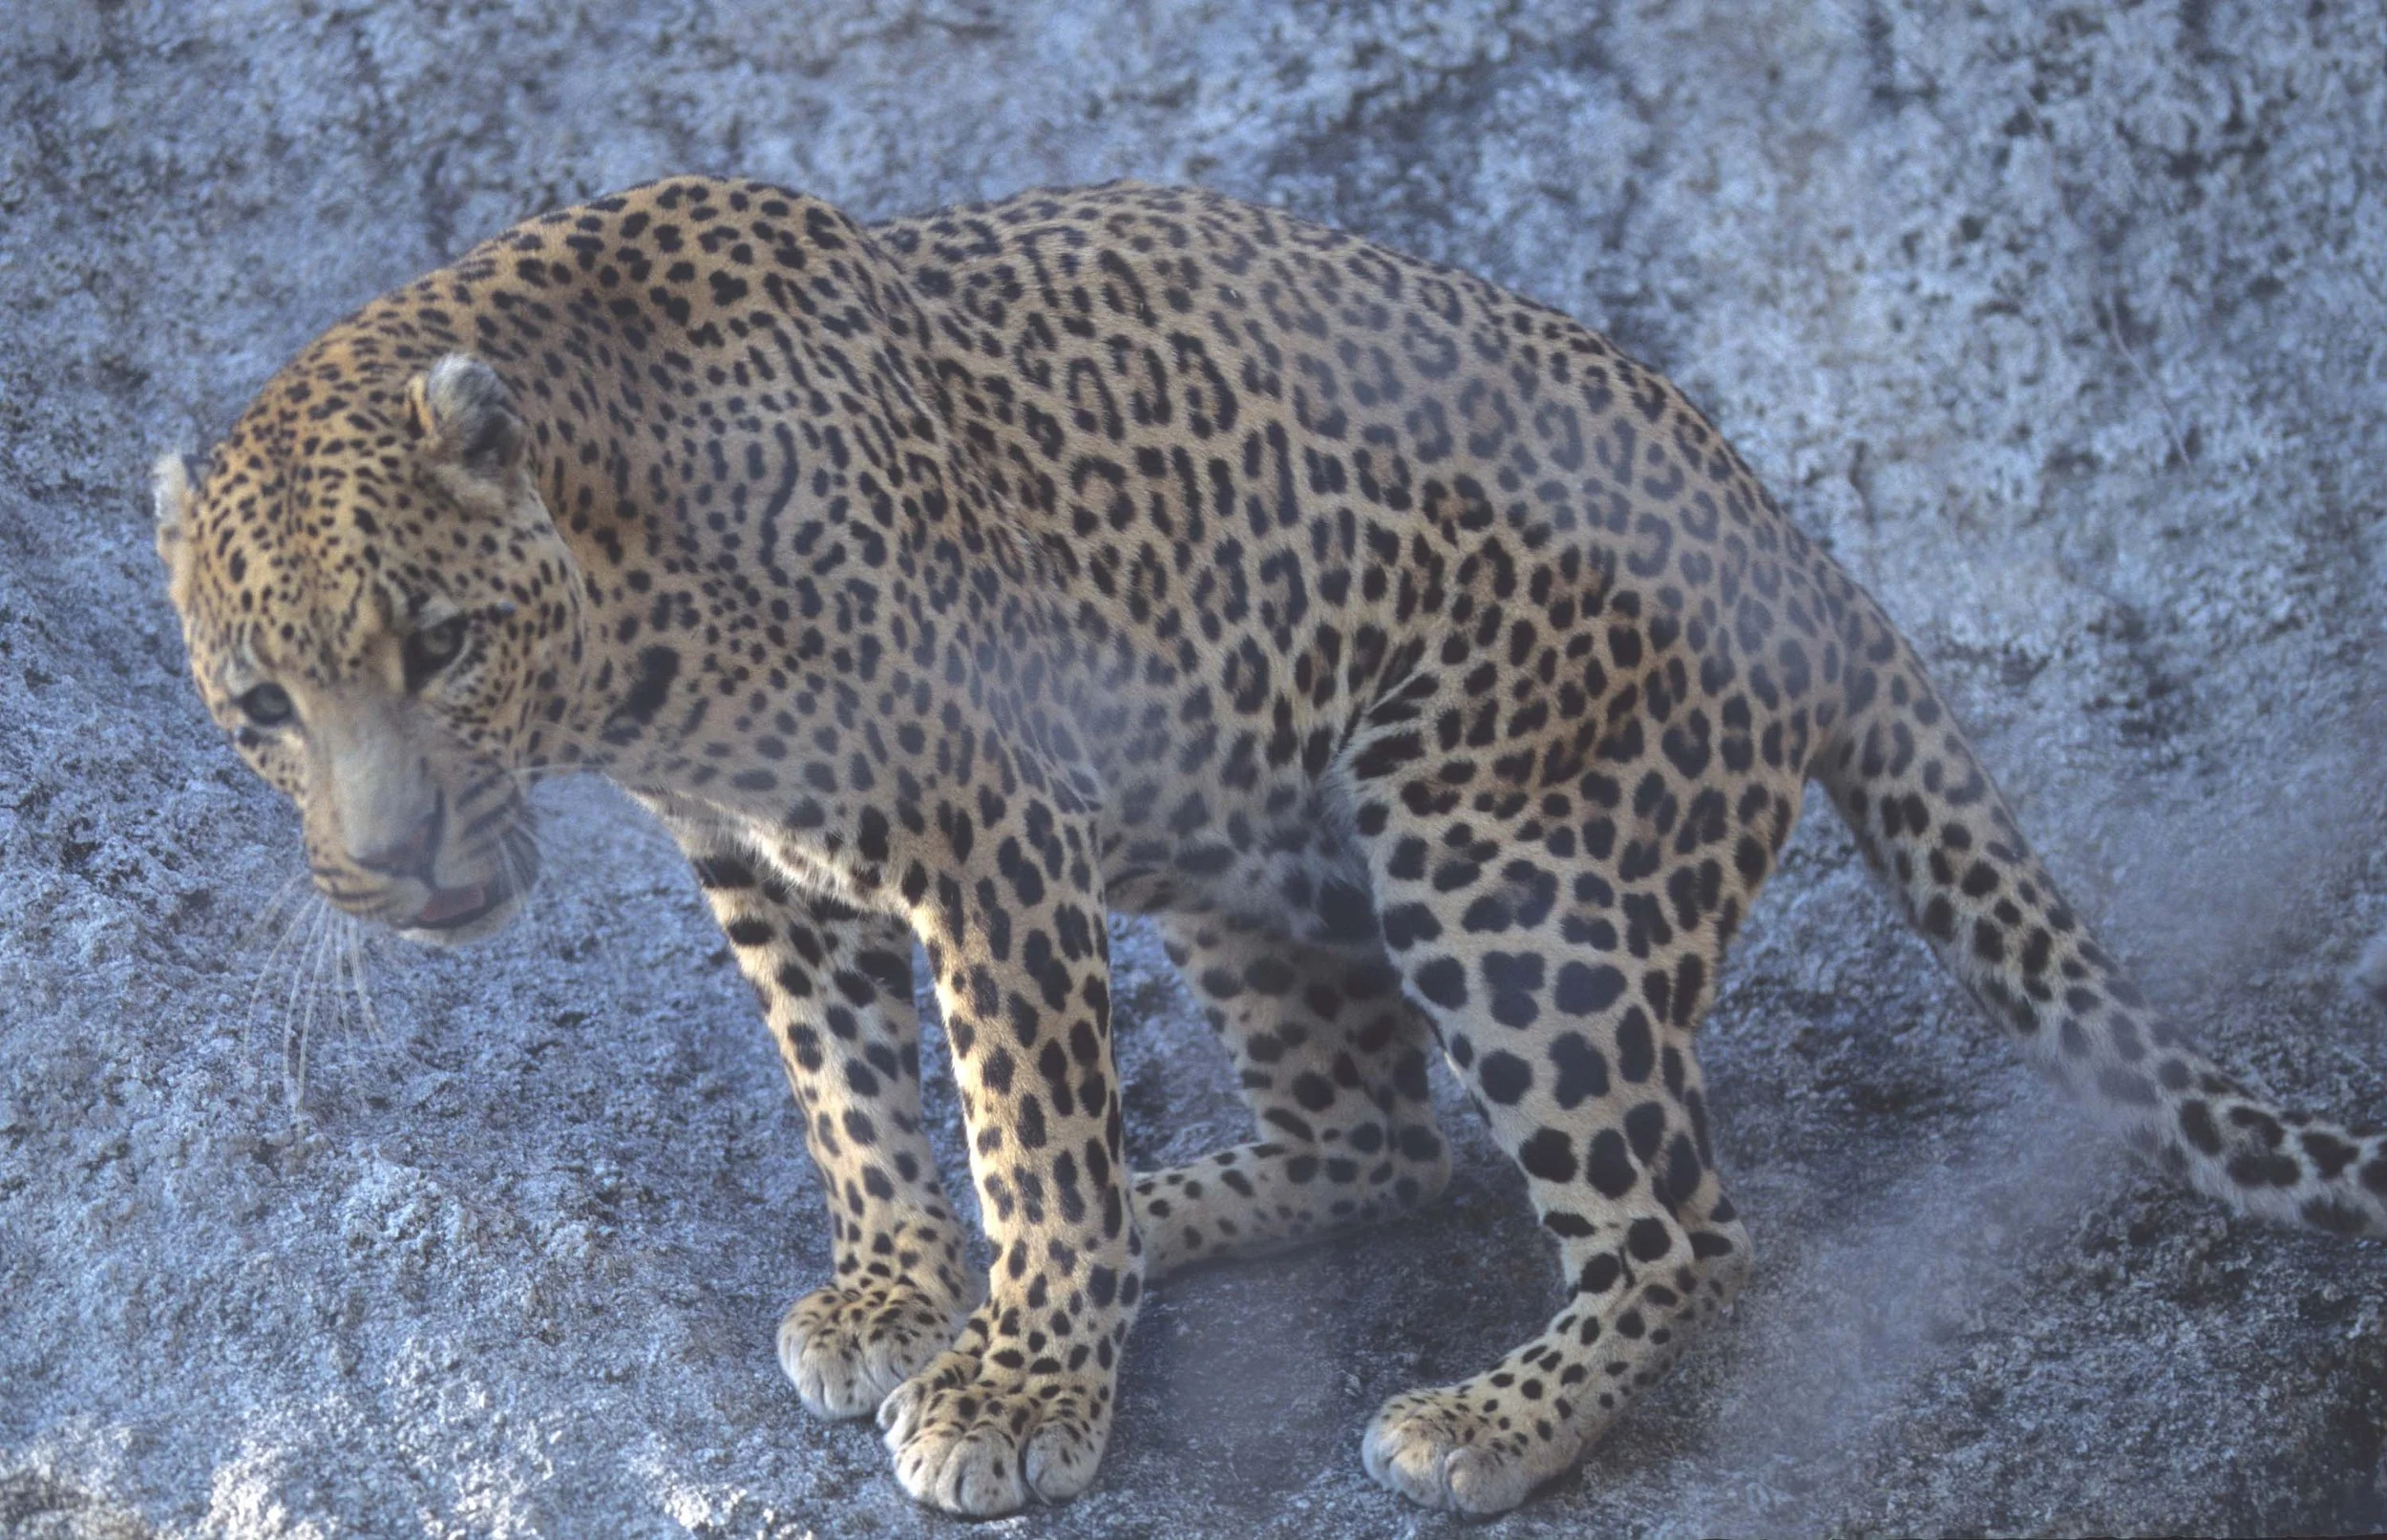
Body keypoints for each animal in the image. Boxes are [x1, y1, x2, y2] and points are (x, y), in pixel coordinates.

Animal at [148, 175, 2387, 1517]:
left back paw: (1481, 1418)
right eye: (261, 707)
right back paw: (1174, 1215)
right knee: (1375, 1140)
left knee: (1684, 1221)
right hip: (1236, 844)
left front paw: (1020, 1387)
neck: (634, 625)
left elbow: (1021, 1113)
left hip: (1491, 844)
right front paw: (899, 1284)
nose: (395, 864)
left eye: (437, 644)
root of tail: (1800, 541)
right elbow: (853, 1089)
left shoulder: (984, 824)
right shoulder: (767, 857)